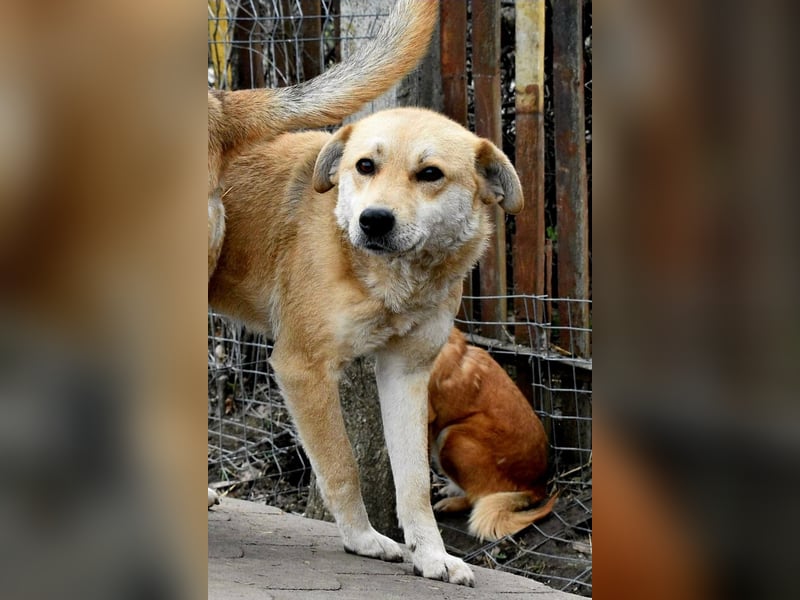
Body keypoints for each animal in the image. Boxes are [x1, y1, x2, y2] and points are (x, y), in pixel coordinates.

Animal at [208, 107, 523, 586]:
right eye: (365, 166)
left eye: (430, 174)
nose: (374, 220)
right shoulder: (303, 368)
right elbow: (342, 466)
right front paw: (362, 538)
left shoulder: (406, 373)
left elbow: (415, 483)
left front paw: (431, 555)